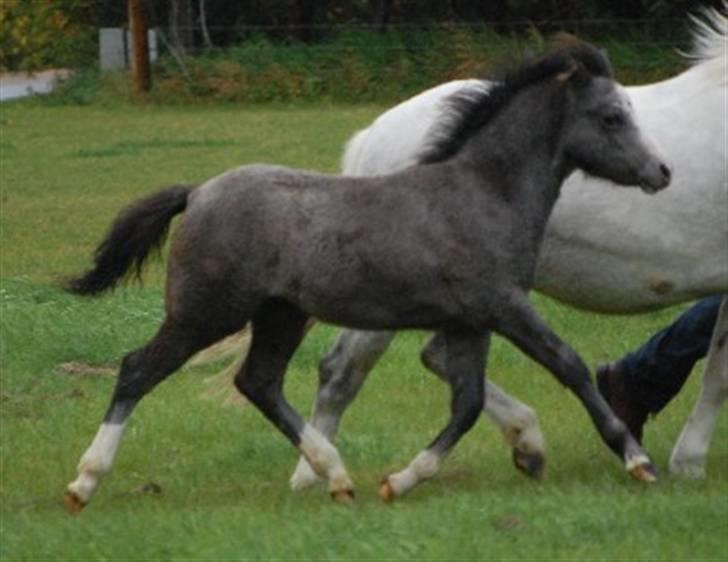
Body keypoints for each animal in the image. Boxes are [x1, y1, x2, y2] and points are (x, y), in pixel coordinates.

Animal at [64, 39, 672, 510]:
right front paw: (636, 459)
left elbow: (468, 402)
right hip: (205, 313)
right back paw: (84, 482)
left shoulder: (469, 321)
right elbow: (567, 365)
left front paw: (401, 480)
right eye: (612, 116)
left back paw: (335, 476)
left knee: (258, 382)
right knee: (137, 370)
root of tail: (196, 193)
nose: (661, 172)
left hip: (280, 315)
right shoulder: (504, 305)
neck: (480, 194)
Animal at [288, 5, 724, 486]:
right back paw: (315, 474)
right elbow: (717, 371)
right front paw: (685, 462)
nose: (661, 171)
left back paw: (526, 442)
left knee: (432, 357)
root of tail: (372, 135)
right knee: (342, 371)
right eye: (612, 117)